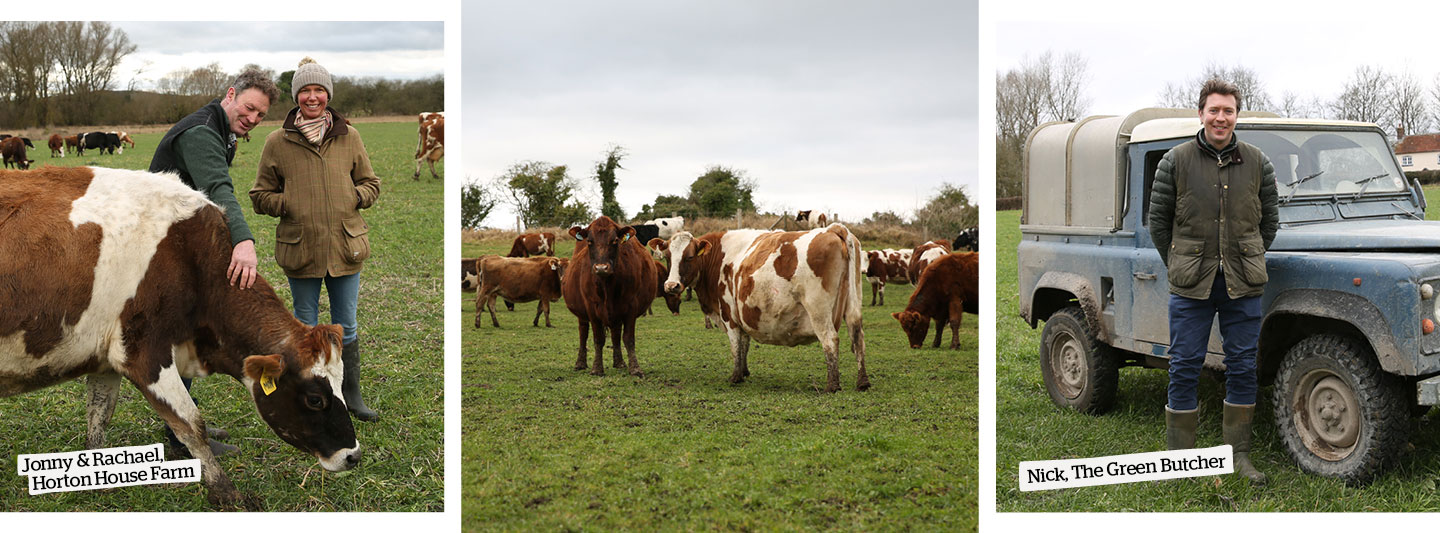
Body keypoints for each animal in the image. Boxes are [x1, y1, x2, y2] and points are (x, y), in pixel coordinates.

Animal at [0, 166, 358, 507]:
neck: (189, 255)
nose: (353, 455)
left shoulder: (106, 357)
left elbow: (99, 414)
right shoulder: (144, 354)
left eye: (341, 385)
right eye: (315, 399)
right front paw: (225, 492)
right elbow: (191, 424)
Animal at [561, 216, 659, 374]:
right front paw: (596, 368)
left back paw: (619, 362)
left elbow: (628, 338)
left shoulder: (631, 306)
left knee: (615, 334)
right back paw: (580, 363)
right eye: (590, 241)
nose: (601, 268)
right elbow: (598, 338)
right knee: (583, 333)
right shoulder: (591, 307)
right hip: (582, 314)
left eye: (614, 241)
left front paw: (635, 368)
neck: (607, 285)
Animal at [659, 223, 869, 394]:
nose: (671, 285)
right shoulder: (741, 313)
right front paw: (744, 372)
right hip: (853, 307)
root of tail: (833, 229)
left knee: (830, 339)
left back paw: (832, 385)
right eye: (667, 257)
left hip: (818, 311)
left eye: (689, 257)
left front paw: (735, 377)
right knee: (858, 337)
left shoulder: (729, 314)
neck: (719, 257)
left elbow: (735, 345)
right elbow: (744, 344)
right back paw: (862, 383)